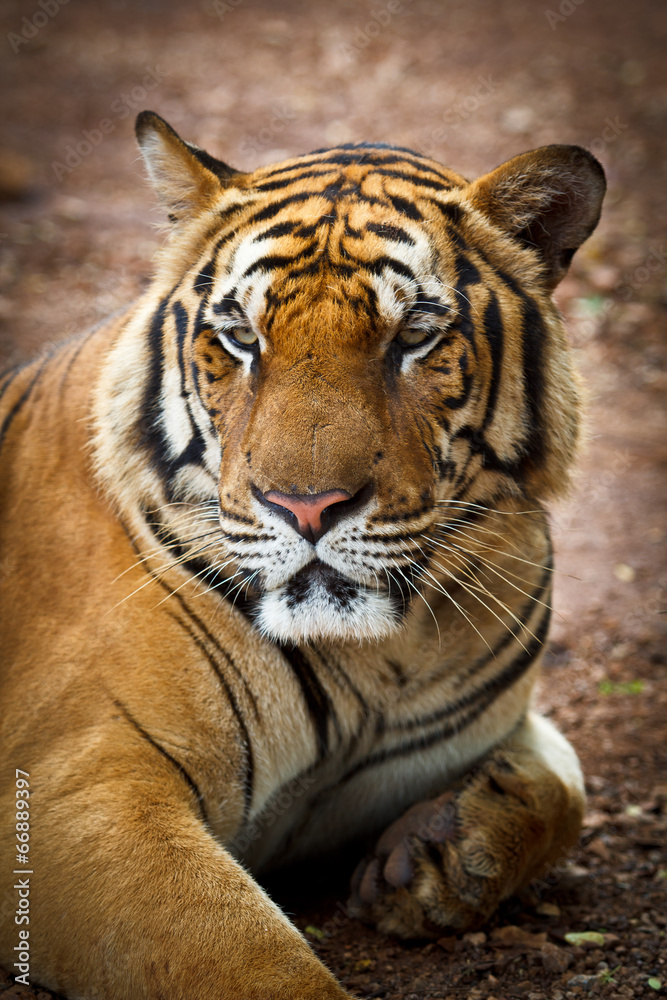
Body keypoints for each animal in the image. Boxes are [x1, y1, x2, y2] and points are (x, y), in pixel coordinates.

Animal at [0, 111, 605, 1000]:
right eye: (240, 338)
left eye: (413, 336)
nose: (307, 507)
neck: (386, 656)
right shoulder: (77, 789)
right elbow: (252, 964)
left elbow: (569, 782)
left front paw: (439, 853)